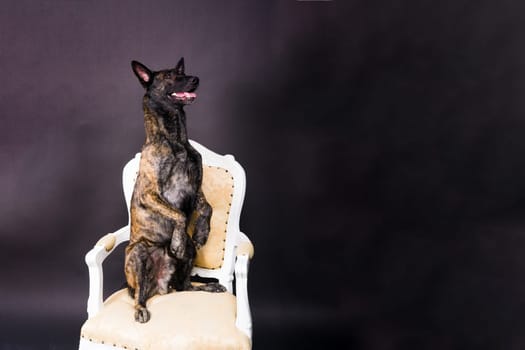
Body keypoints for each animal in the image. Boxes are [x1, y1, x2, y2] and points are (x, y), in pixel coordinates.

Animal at [127, 58, 227, 322]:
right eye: (170, 77)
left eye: (181, 72)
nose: (196, 79)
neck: (175, 140)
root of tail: (160, 286)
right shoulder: (150, 193)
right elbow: (179, 214)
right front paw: (177, 241)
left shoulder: (196, 187)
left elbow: (207, 208)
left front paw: (202, 232)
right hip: (138, 253)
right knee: (139, 293)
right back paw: (140, 308)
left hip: (189, 259)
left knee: (185, 286)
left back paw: (209, 287)